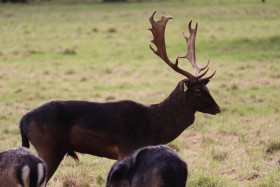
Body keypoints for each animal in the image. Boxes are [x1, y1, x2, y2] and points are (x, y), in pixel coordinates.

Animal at [19, 10, 221, 182]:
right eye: (197, 91)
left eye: (207, 87)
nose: (218, 108)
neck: (153, 126)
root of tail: (23, 120)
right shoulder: (127, 147)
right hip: (49, 147)